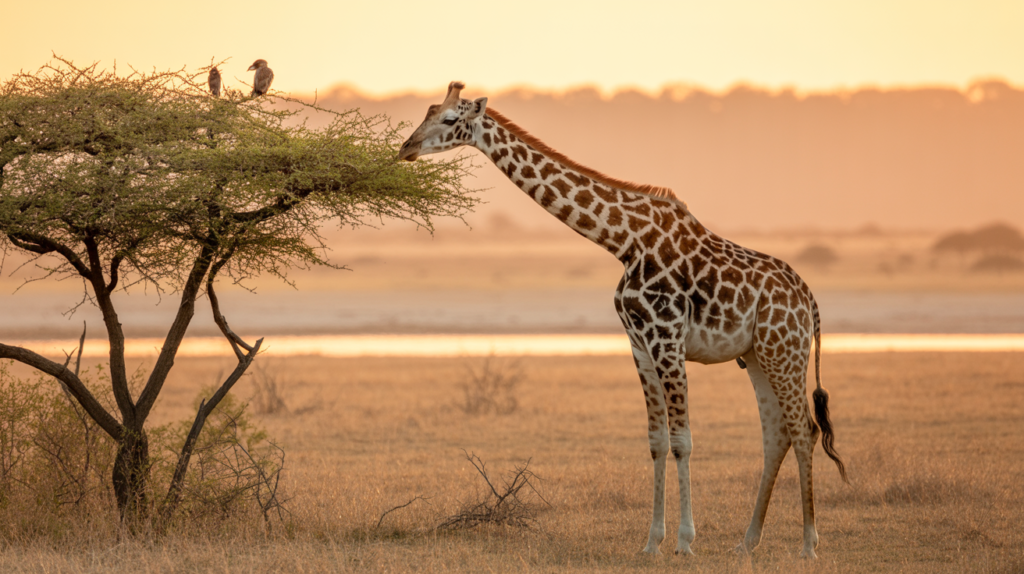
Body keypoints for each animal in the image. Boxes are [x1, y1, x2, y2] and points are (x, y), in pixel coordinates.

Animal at [398, 82, 848, 558]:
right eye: (428, 111)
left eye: (450, 119)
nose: (406, 148)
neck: (624, 241)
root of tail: (809, 300)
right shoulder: (639, 343)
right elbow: (656, 441)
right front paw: (652, 542)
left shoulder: (667, 338)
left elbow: (683, 440)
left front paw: (685, 542)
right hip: (759, 357)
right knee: (777, 434)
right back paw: (748, 542)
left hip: (785, 351)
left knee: (804, 429)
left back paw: (809, 544)